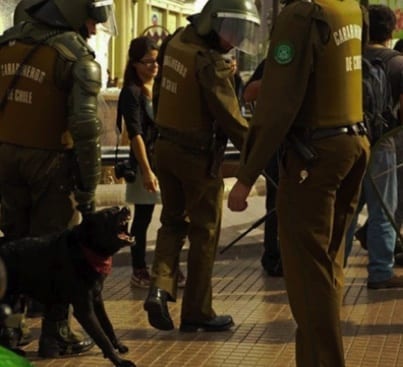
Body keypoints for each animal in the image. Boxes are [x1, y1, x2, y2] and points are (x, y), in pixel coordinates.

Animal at [0, 208, 137, 366]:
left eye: (117, 208)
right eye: (108, 214)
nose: (126, 209)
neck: (87, 249)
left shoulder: (97, 299)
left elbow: (107, 325)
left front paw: (118, 346)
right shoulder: (84, 310)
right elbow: (102, 337)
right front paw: (119, 361)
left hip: (15, 301)